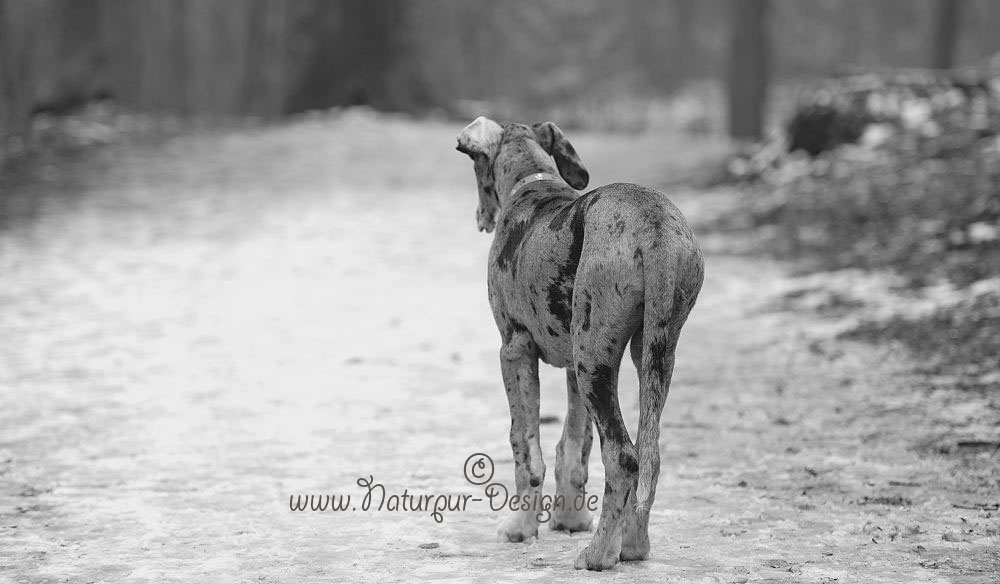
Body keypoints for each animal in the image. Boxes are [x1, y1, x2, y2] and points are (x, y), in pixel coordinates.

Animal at [458, 117, 708, 572]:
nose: (481, 218)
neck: (532, 185)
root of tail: (655, 229)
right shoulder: (574, 369)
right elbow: (573, 445)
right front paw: (570, 518)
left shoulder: (514, 350)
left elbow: (526, 447)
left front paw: (522, 528)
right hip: (648, 352)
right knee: (648, 453)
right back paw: (632, 546)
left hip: (592, 358)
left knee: (624, 456)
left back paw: (598, 554)